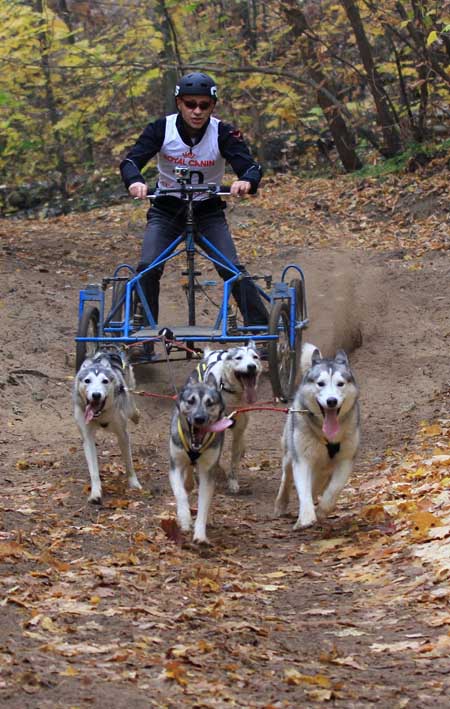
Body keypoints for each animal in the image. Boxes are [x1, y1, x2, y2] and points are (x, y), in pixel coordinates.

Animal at [73, 350, 141, 504]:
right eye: (87, 380)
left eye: (105, 381)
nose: (96, 395)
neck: (101, 415)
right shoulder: (87, 438)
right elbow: (93, 470)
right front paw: (95, 492)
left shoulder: (122, 434)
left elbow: (129, 463)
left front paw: (133, 483)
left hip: (129, 394)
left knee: (132, 405)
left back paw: (136, 415)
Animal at [169, 374, 227, 544]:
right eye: (191, 401)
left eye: (210, 403)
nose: (199, 418)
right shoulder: (175, 465)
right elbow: (180, 493)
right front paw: (185, 518)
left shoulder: (208, 471)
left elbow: (203, 504)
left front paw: (200, 535)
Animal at [201, 342, 264, 492]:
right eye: (238, 358)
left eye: (255, 357)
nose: (251, 366)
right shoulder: (216, 430)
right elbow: (216, 454)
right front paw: (218, 473)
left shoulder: (238, 430)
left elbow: (234, 459)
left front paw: (233, 481)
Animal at [272, 342, 360, 524]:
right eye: (321, 383)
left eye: (340, 384)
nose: (331, 401)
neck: (328, 436)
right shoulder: (303, 459)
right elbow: (303, 490)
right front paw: (306, 517)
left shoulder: (345, 460)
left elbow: (333, 489)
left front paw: (321, 511)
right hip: (290, 453)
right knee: (286, 477)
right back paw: (281, 504)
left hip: (324, 468)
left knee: (318, 483)